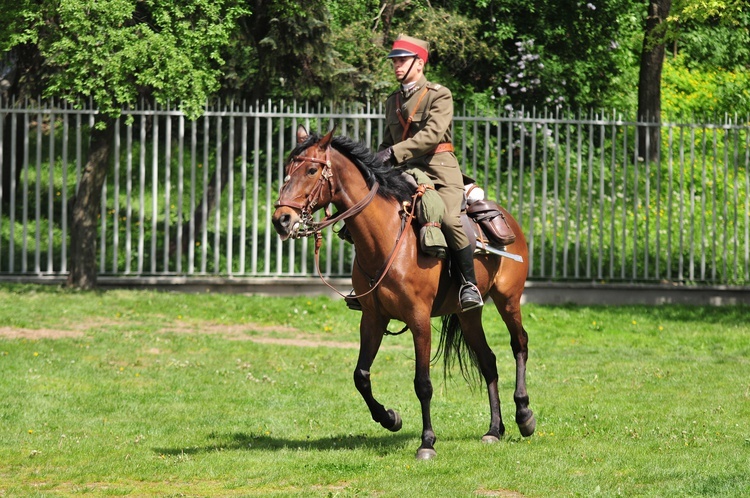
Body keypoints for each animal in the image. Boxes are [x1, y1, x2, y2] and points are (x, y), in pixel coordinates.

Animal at [270, 127, 536, 460]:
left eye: (311, 170)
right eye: (286, 168)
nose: (281, 219)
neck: (385, 239)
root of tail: (506, 216)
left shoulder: (419, 319)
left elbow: (423, 383)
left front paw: (427, 442)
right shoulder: (373, 318)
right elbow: (361, 376)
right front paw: (390, 418)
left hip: (508, 300)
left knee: (519, 344)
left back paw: (524, 415)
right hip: (468, 314)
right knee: (488, 361)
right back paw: (493, 430)